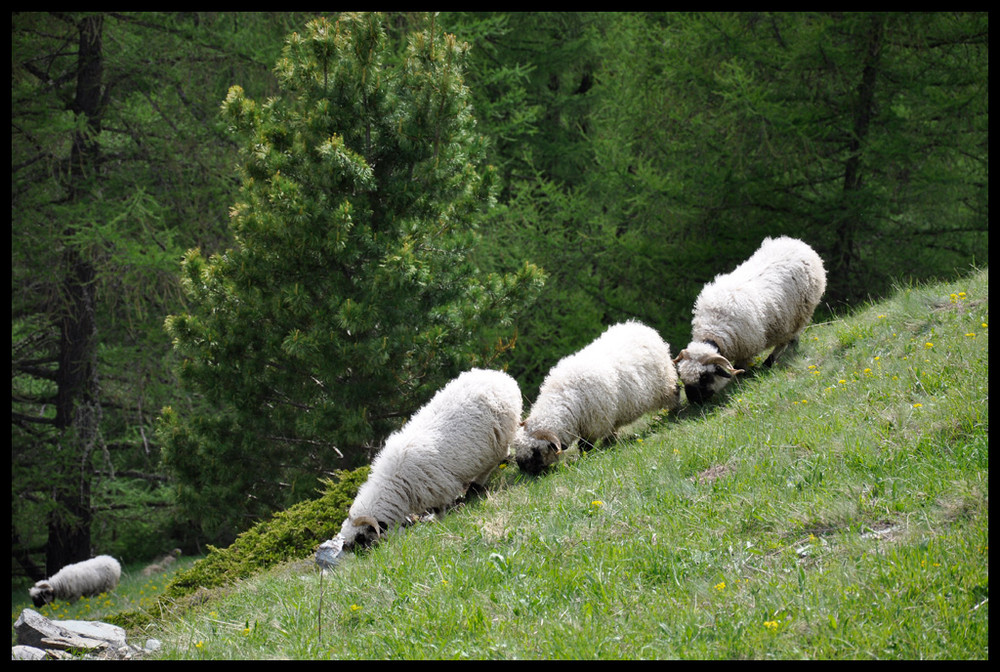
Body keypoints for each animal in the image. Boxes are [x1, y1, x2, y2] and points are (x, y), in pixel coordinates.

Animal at [338, 368, 524, 552]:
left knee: (494, 461)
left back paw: (475, 486)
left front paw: (436, 521)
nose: (347, 549)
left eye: (360, 538)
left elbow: (440, 510)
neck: (395, 482)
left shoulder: (439, 488)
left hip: (499, 439)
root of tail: (501, 376)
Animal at [516, 322, 680, 476]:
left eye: (536, 451)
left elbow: (584, 446)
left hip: (665, 381)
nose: (522, 469)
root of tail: (641, 326)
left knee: (675, 393)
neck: (565, 395)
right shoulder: (605, 417)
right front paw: (610, 443)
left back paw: (674, 415)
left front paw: (585, 458)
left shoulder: (594, 424)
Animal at [672, 234, 828, 402]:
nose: (694, 401)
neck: (714, 325)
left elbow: (740, 368)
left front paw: (740, 381)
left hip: (799, 313)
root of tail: (796, 242)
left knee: (785, 339)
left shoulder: (747, 346)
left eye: (705, 377)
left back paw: (770, 361)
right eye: (682, 377)